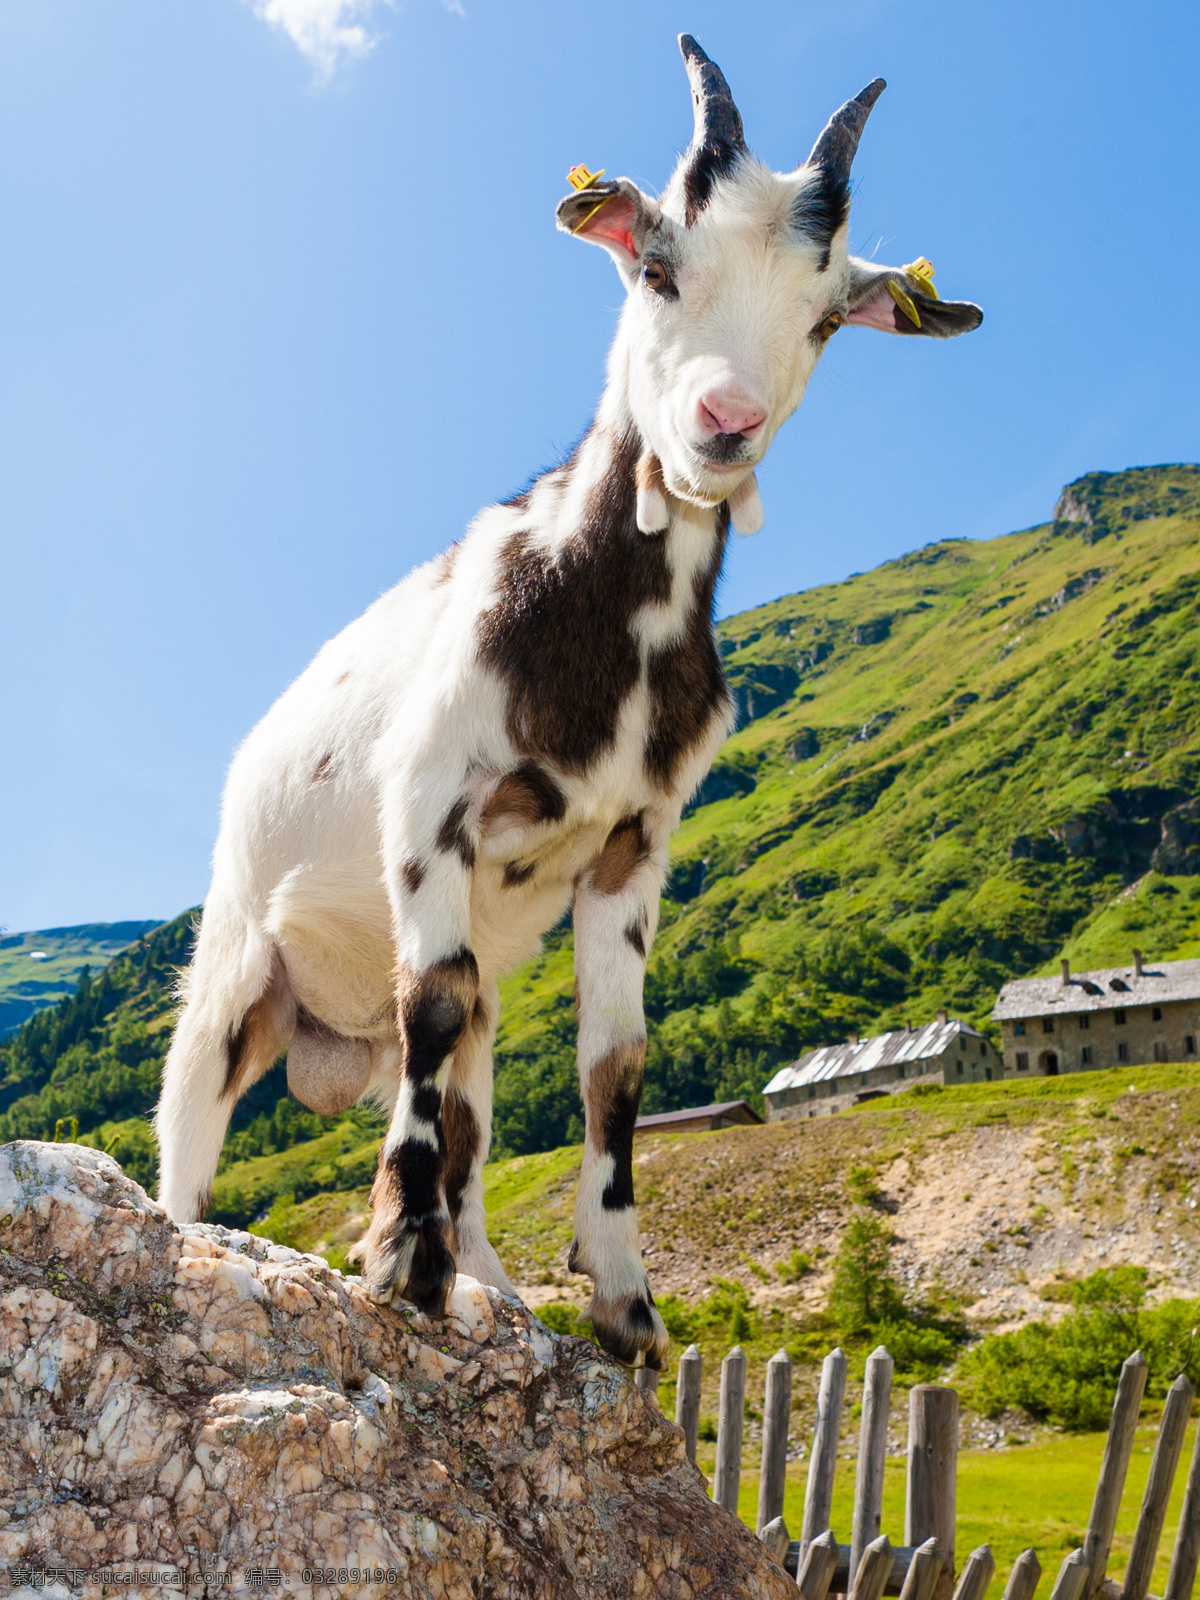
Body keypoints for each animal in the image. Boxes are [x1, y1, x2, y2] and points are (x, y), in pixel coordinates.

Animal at [155, 31, 979, 1369]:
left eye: (823, 318)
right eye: (655, 265)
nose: (724, 425)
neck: (599, 623)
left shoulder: (634, 845)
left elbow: (614, 1065)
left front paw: (623, 1306)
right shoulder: (431, 800)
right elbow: (432, 1004)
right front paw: (402, 1261)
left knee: (469, 1111)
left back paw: (497, 1284)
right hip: (235, 957)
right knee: (203, 1118)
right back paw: (213, 1234)